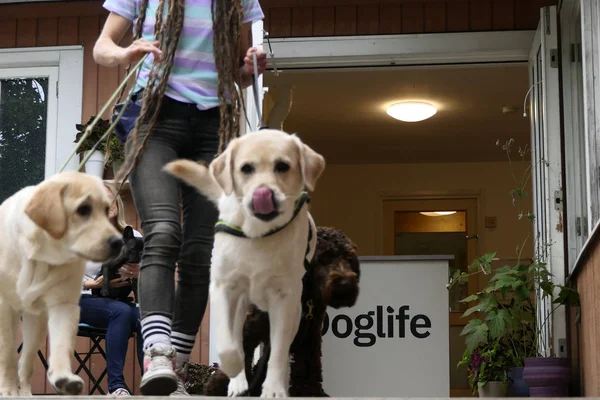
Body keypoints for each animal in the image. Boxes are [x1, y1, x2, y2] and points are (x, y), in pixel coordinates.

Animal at [0, 170, 124, 396]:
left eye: (106, 210)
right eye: (83, 209)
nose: (119, 243)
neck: (42, 258)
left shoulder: (63, 306)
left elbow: (61, 345)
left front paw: (63, 377)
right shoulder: (5, 306)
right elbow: (6, 354)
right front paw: (7, 389)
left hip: (35, 324)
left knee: (26, 363)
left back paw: (26, 392)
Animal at [164, 129, 326, 396]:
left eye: (283, 166)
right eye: (246, 168)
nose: (264, 194)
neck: (257, 234)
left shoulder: (285, 299)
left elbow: (278, 352)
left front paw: (273, 389)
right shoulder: (223, 288)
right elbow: (229, 346)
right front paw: (234, 370)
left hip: (295, 310)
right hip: (241, 305)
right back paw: (238, 381)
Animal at [204, 227, 358, 396]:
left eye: (349, 258)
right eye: (323, 258)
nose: (345, 286)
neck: (305, 296)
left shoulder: (309, 336)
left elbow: (309, 366)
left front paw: (311, 392)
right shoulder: (251, 329)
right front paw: (219, 386)